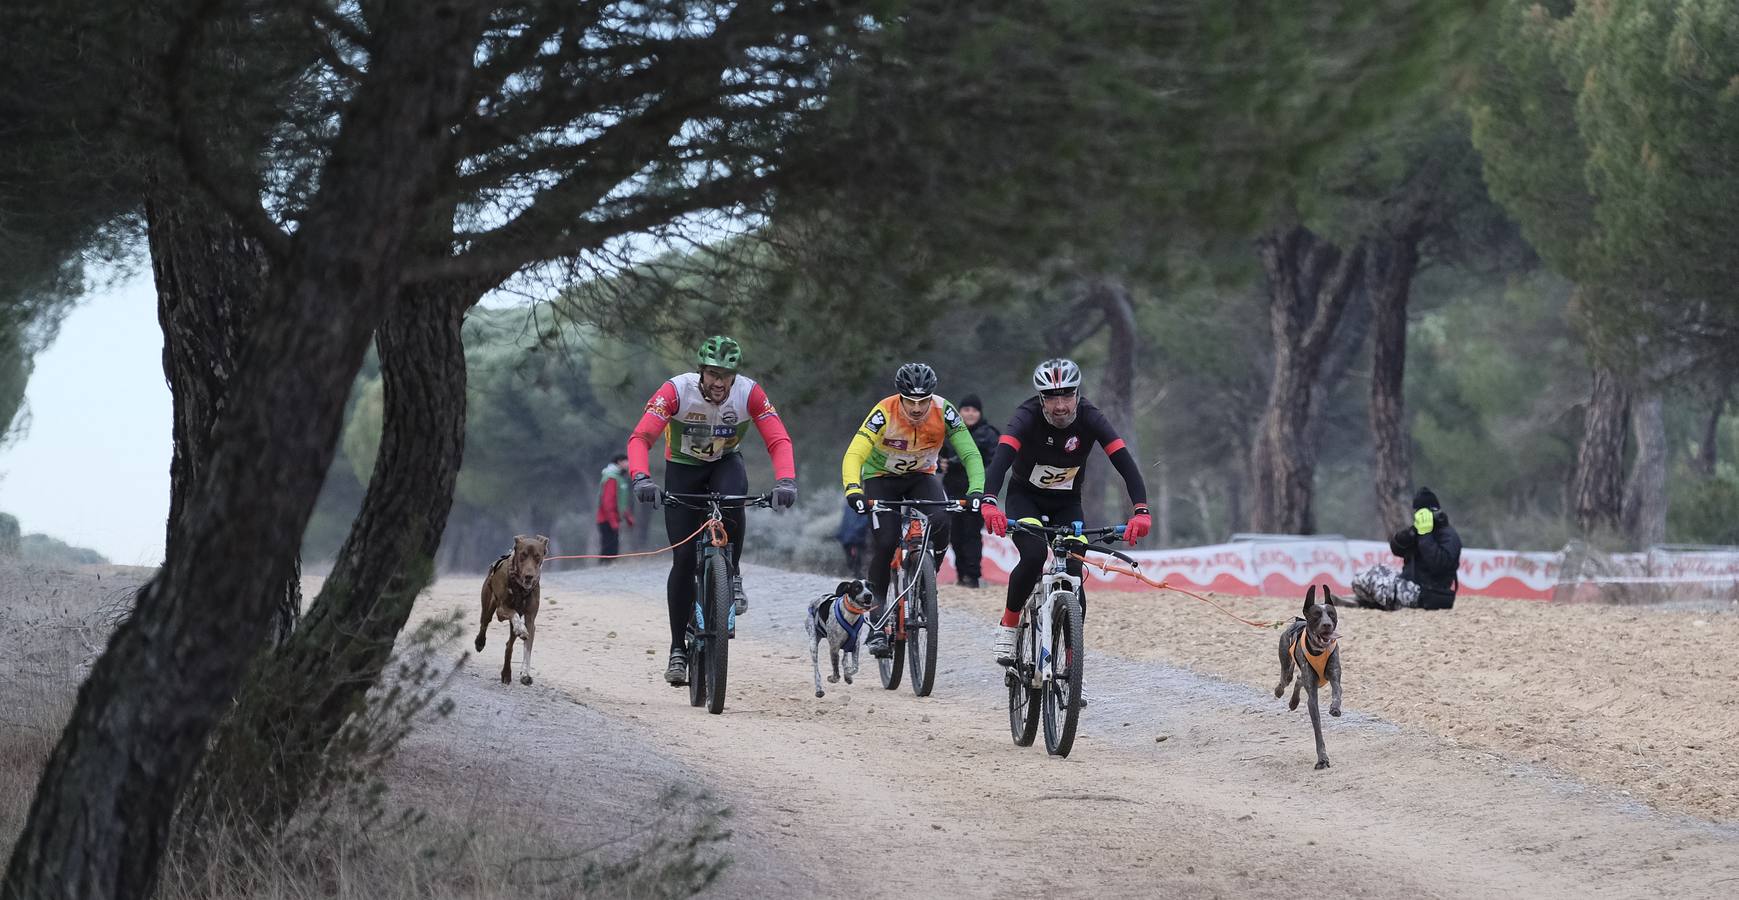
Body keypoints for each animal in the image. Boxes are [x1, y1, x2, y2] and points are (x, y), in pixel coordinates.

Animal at [476, 531, 549, 688]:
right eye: (522, 555)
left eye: (537, 556)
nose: (529, 576)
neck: (520, 588)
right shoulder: (501, 610)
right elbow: (513, 613)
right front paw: (521, 628)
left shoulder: (530, 619)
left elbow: (528, 647)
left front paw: (526, 674)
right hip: (488, 605)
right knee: (485, 623)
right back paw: (480, 642)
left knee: (509, 645)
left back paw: (506, 673)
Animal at [1279, 590, 1342, 771]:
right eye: (1316, 615)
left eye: (1331, 614)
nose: (1327, 625)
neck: (1318, 651)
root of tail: (1298, 621)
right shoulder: (1312, 698)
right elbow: (1317, 728)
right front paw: (1322, 759)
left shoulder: (1335, 676)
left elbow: (1337, 692)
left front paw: (1335, 707)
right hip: (1286, 665)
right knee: (1287, 679)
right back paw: (1280, 692)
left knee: (1299, 679)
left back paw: (1294, 701)